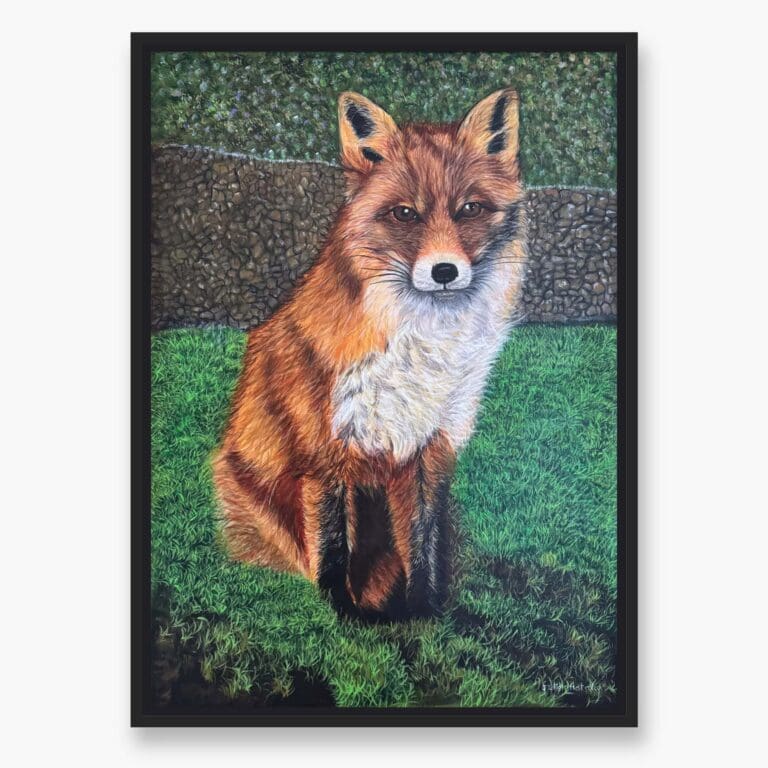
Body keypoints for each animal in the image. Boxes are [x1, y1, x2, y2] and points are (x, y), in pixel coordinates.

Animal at [212, 88, 527, 621]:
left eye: (470, 208)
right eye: (404, 214)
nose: (444, 271)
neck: (421, 351)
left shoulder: (428, 451)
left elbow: (422, 541)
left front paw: (423, 614)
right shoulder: (325, 455)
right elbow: (333, 551)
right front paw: (341, 615)